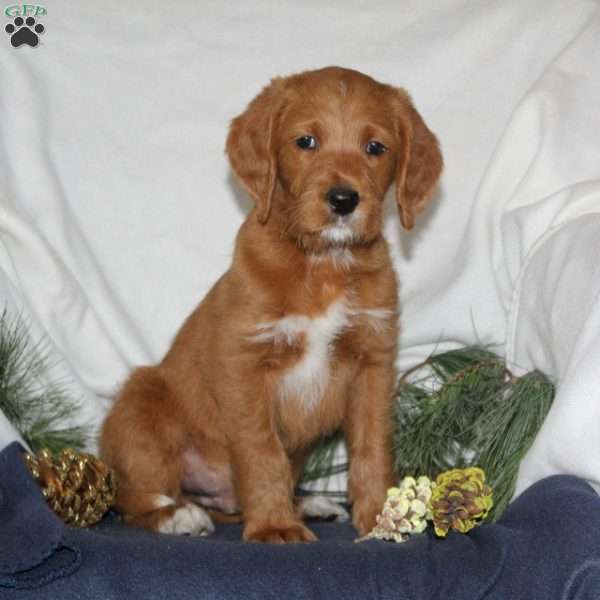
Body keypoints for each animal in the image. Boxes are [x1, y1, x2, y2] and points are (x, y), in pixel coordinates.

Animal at [101, 67, 442, 544]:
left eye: (376, 147)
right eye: (305, 141)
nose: (343, 200)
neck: (323, 263)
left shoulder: (373, 361)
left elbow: (372, 446)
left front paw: (379, 516)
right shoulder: (244, 363)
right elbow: (262, 451)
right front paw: (275, 525)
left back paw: (308, 503)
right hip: (142, 405)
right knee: (132, 499)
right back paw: (177, 515)